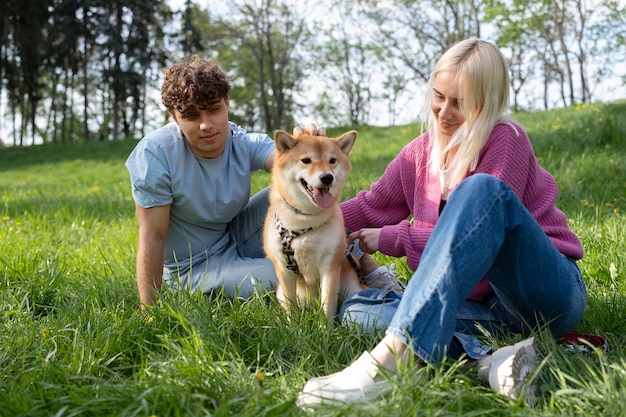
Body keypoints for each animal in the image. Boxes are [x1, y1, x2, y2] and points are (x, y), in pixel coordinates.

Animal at [262, 128, 360, 324]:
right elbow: (290, 304)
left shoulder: (330, 265)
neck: (303, 223)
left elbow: (327, 303)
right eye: (306, 160)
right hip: (280, 292)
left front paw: (326, 329)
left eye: (332, 160)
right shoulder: (283, 268)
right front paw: (292, 327)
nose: (327, 177)